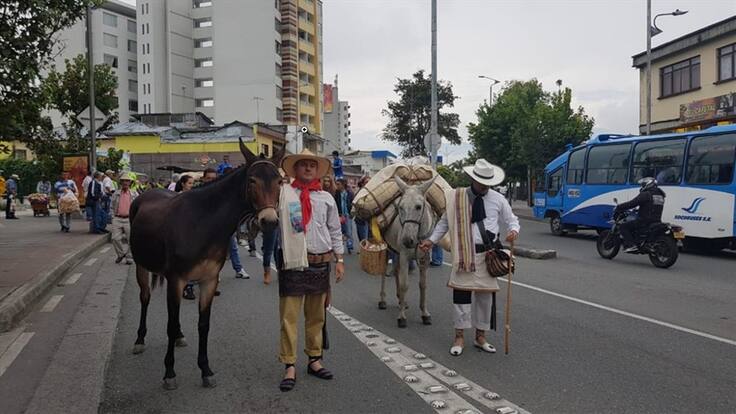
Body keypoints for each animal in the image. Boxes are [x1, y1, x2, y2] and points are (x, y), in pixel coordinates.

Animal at [129, 139, 284, 390]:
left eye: (279, 181)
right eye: (252, 180)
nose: (269, 221)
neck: (202, 222)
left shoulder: (209, 280)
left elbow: (203, 325)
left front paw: (205, 369)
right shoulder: (176, 278)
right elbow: (169, 324)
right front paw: (169, 372)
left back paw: (180, 335)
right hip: (141, 266)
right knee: (145, 298)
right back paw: (140, 338)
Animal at [378, 176, 437, 328]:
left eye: (418, 207)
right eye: (400, 207)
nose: (407, 240)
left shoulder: (424, 259)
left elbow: (423, 285)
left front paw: (425, 313)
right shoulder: (404, 255)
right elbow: (405, 285)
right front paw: (402, 317)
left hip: (397, 251)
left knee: (397, 270)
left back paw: (401, 301)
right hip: (387, 248)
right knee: (384, 272)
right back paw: (383, 300)